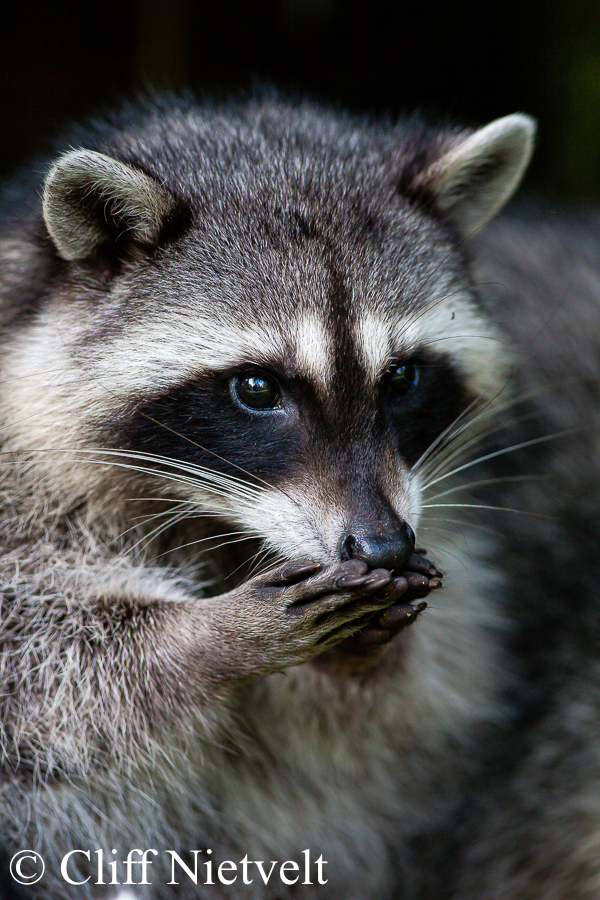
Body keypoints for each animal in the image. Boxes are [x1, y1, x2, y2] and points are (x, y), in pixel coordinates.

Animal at [0, 92, 563, 899]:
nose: (383, 544)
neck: (216, 517)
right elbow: (39, 657)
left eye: (402, 378)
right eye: (258, 389)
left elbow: (373, 729)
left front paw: (362, 656)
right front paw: (205, 637)